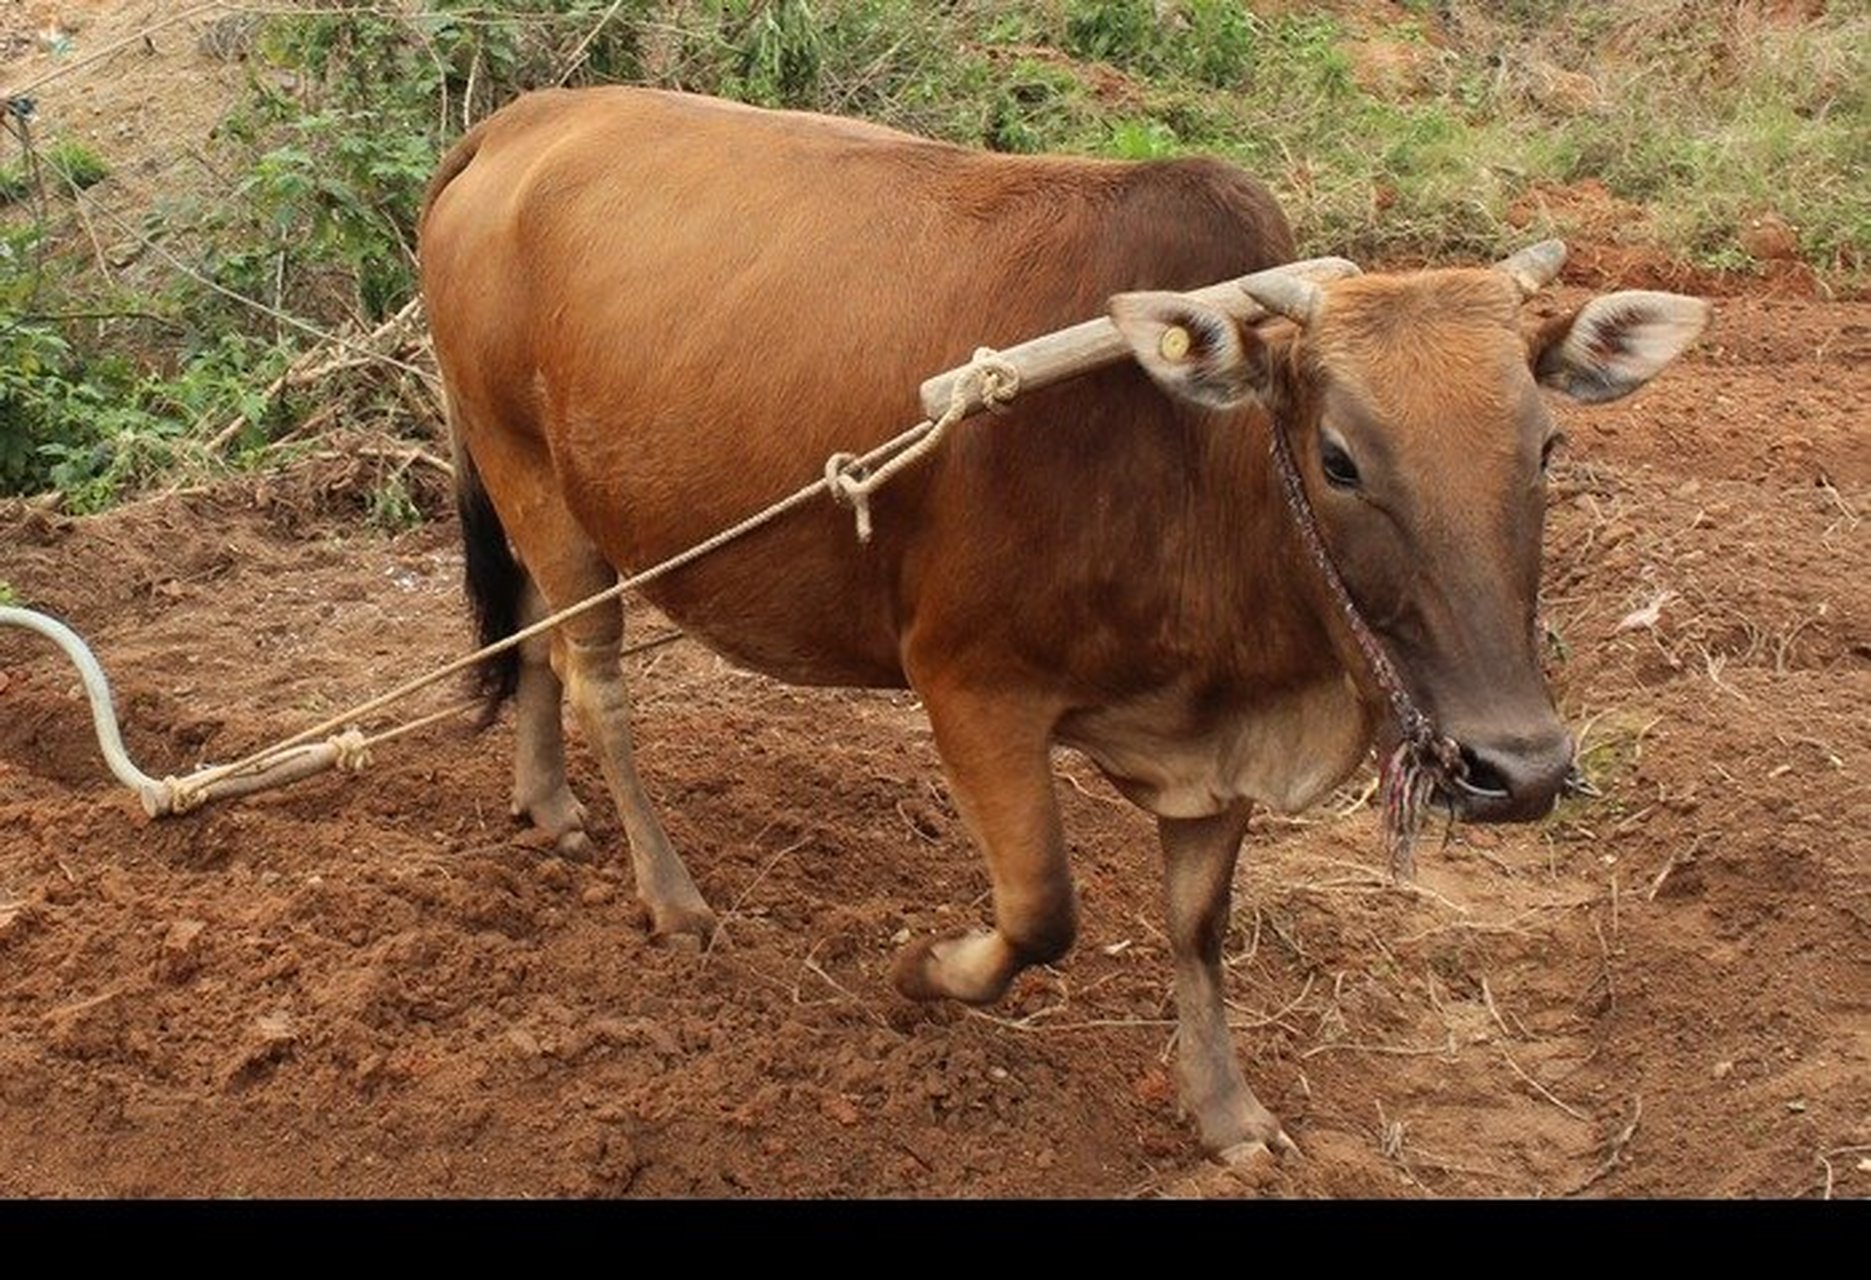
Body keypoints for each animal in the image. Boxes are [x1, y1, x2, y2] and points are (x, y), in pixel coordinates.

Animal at [417, 85, 1706, 1152]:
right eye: (1337, 458)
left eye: (1545, 443)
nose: (1517, 767)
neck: (1192, 462)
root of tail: (520, 122)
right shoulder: (968, 686)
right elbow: (1040, 909)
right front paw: (920, 969)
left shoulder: (1214, 745)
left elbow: (1197, 923)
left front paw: (1225, 1113)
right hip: (537, 480)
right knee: (593, 674)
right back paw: (671, 897)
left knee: (526, 634)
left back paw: (547, 805)